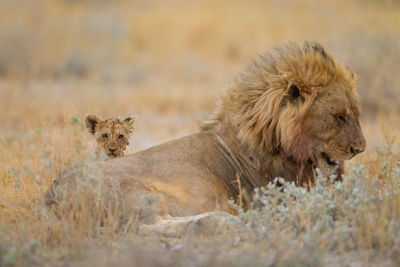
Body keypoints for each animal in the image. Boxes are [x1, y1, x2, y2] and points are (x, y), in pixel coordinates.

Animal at [44, 43, 366, 238]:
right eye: (339, 116)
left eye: (356, 113)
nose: (359, 149)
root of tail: (51, 193)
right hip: (138, 194)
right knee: (146, 228)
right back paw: (218, 221)